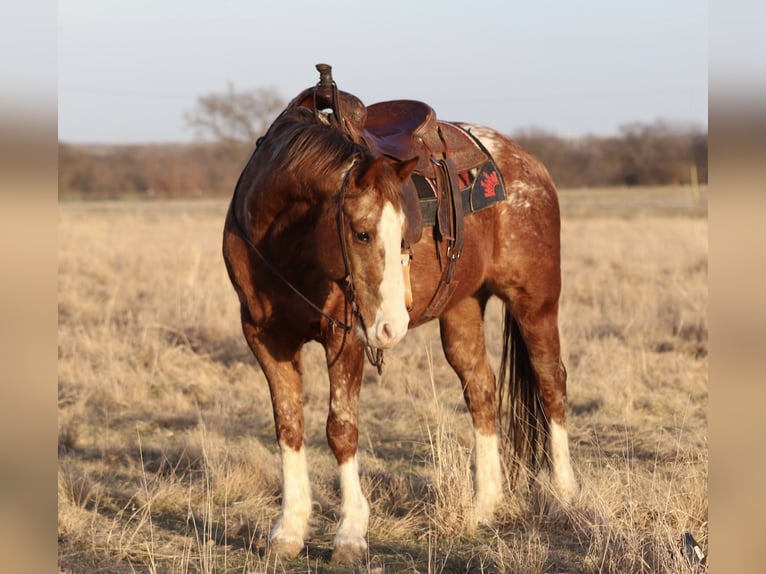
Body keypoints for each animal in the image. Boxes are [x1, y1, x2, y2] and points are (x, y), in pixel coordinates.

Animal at [222, 66, 577, 562]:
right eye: (361, 233)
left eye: (408, 233)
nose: (392, 327)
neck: (284, 244)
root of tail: (527, 164)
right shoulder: (265, 337)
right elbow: (289, 426)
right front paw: (288, 530)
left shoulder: (345, 336)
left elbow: (341, 429)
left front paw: (350, 533)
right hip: (463, 308)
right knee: (482, 392)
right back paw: (483, 507)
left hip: (535, 302)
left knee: (550, 385)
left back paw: (564, 497)